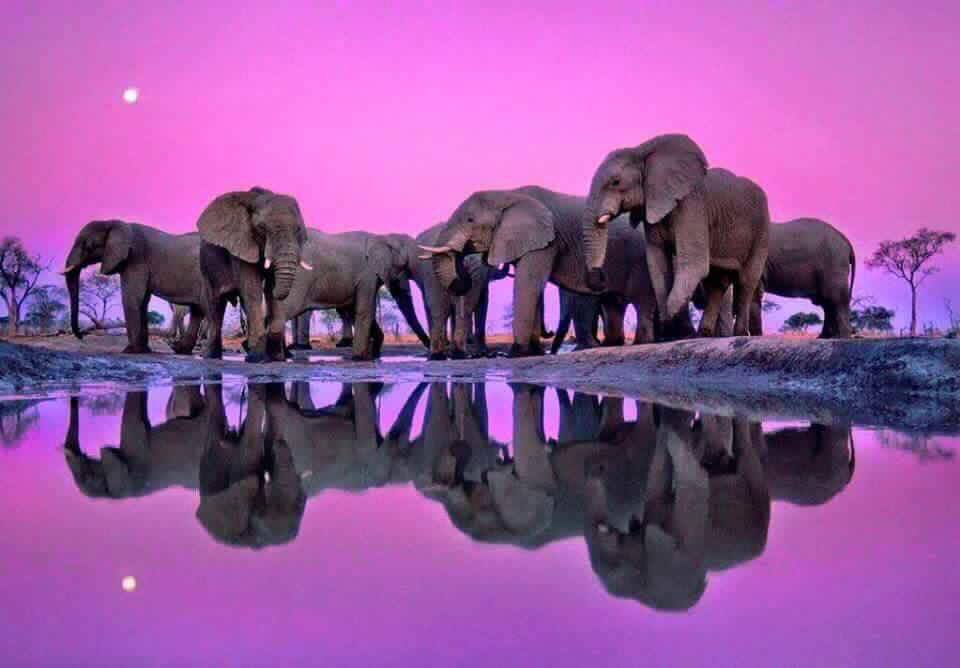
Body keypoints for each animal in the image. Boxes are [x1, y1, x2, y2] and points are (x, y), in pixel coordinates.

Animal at [62, 220, 209, 354]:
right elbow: (142, 301)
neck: (114, 223)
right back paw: (181, 350)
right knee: (197, 311)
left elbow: (131, 298)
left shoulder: (135, 259)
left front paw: (130, 350)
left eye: (89, 246)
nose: (81, 335)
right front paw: (144, 350)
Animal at [196, 185, 312, 362]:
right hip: (206, 266)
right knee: (215, 304)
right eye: (262, 228)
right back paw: (211, 357)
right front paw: (258, 358)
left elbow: (269, 289)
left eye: (298, 229)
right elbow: (253, 290)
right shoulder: (241, 244)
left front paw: (276, 358)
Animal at [422, 185, 688, 358]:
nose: (464, 262)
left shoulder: (545, 240)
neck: (507, 193)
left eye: (469, 220)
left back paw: (643, 342)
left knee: (643, 300)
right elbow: (533, 286)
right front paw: (533, 351)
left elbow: (528, 283)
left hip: (643, 259)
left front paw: (516, 354)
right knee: (614, 303)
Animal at [576, 133, 772, 336]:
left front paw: (673, 328)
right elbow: (657, 263)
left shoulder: (692, 206)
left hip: (761, 228)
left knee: (746, 280)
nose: (599, 276)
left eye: (615, 182)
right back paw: (704, 333)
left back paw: (738, 333)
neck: (642, 151)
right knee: (717, 283)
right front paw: (670, 329)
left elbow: (693, 264)